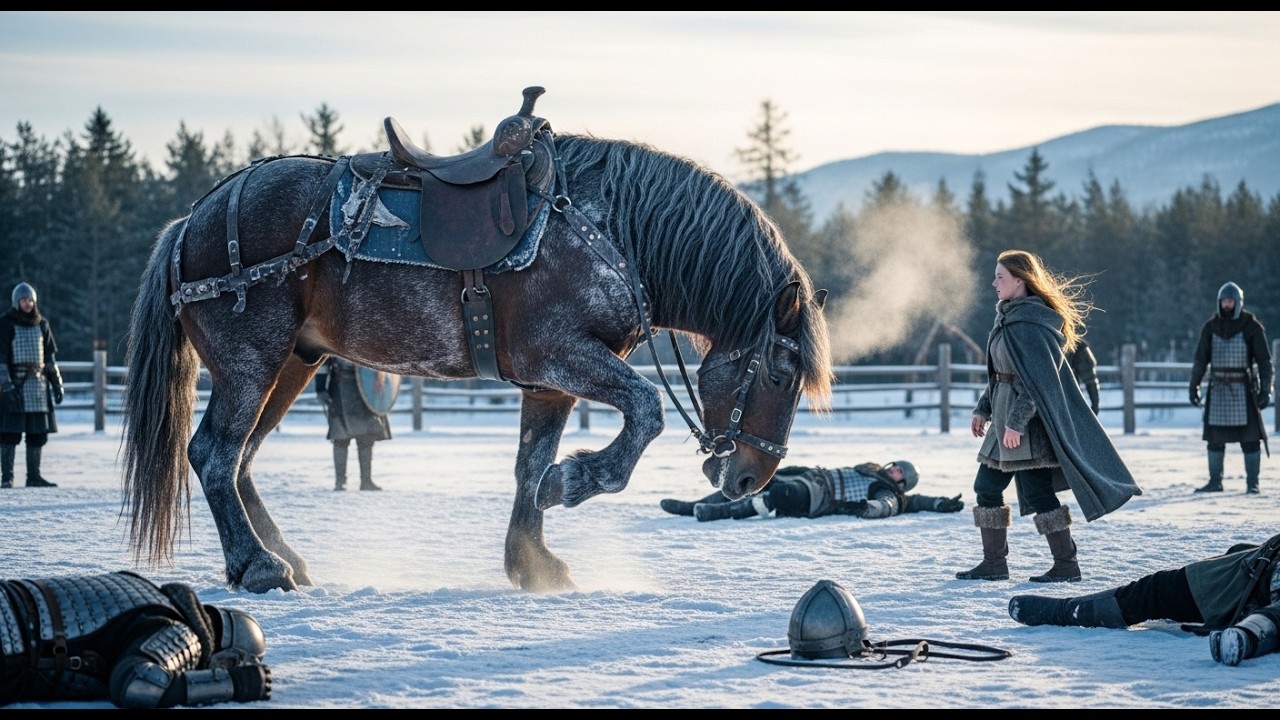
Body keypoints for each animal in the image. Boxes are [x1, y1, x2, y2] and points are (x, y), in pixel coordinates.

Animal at [120, 92, 833, 594]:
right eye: (779, 373)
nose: (751, 477)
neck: (610, 231)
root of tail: (191, 222)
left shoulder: (548, 383)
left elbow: (528, 466)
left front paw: (532, 561)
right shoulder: (563, 357)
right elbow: (644, 412)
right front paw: (576, 480)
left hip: (292, 365)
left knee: (240, 460)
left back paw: (281, 556)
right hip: (250, 364)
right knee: (215, 454)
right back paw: (258, 566)